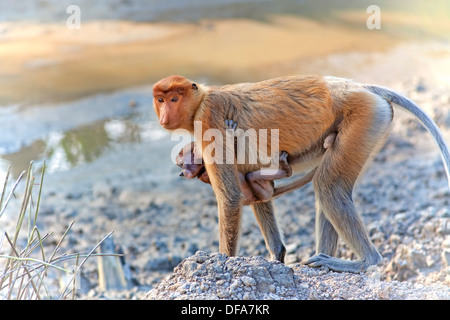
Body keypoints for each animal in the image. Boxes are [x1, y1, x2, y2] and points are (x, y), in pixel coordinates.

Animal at [152, 75, 450, 272]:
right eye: (160, 99)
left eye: (174, 98)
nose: (164, 116)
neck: (201, 98)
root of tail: (359, 86)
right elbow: (257, 195)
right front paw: (277, 255)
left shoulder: (208, 118)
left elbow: (231, 196)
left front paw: (222, 261)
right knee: (330, 185)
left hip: (365, 118)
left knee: (328, 185)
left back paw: (364, 261)